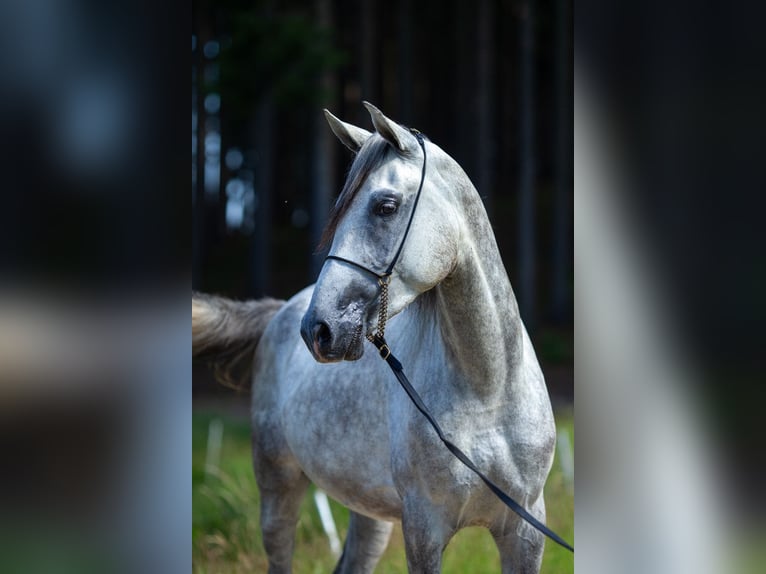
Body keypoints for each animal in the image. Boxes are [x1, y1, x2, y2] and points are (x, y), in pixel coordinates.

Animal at [194, 104, 560, 574]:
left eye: (385, 206)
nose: (318, 329)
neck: (488, 392)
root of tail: (281, 310)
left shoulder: (525, 531)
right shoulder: (424, 529)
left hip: (370, 514)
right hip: (278, 489)